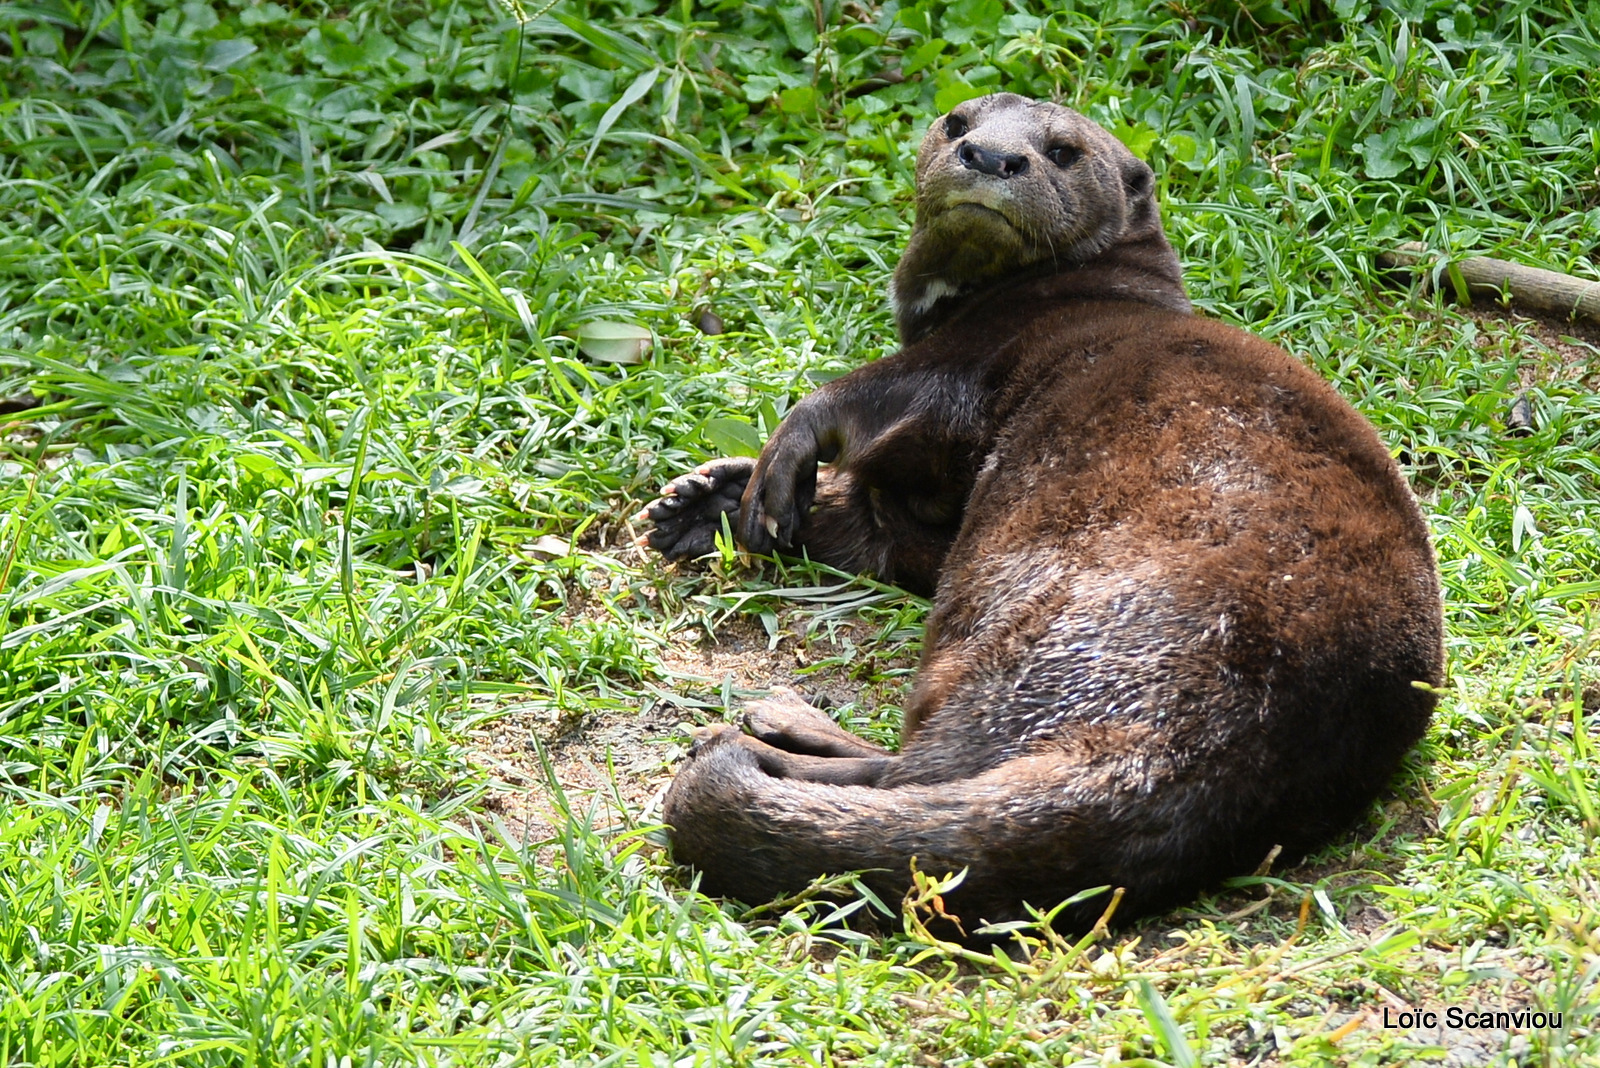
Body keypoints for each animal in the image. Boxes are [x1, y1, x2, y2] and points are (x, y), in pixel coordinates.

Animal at [636, 93, 1452, 933]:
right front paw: (708, 502)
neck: (1087, 288)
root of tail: (1197, 745)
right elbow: (874, 519)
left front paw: (775, 467)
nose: (993, 156)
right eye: (957, 123)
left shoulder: (966, 361)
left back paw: (770, 727)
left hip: (1012, 611)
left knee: (920, 769)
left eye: (1062, 151)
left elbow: (857, 402)